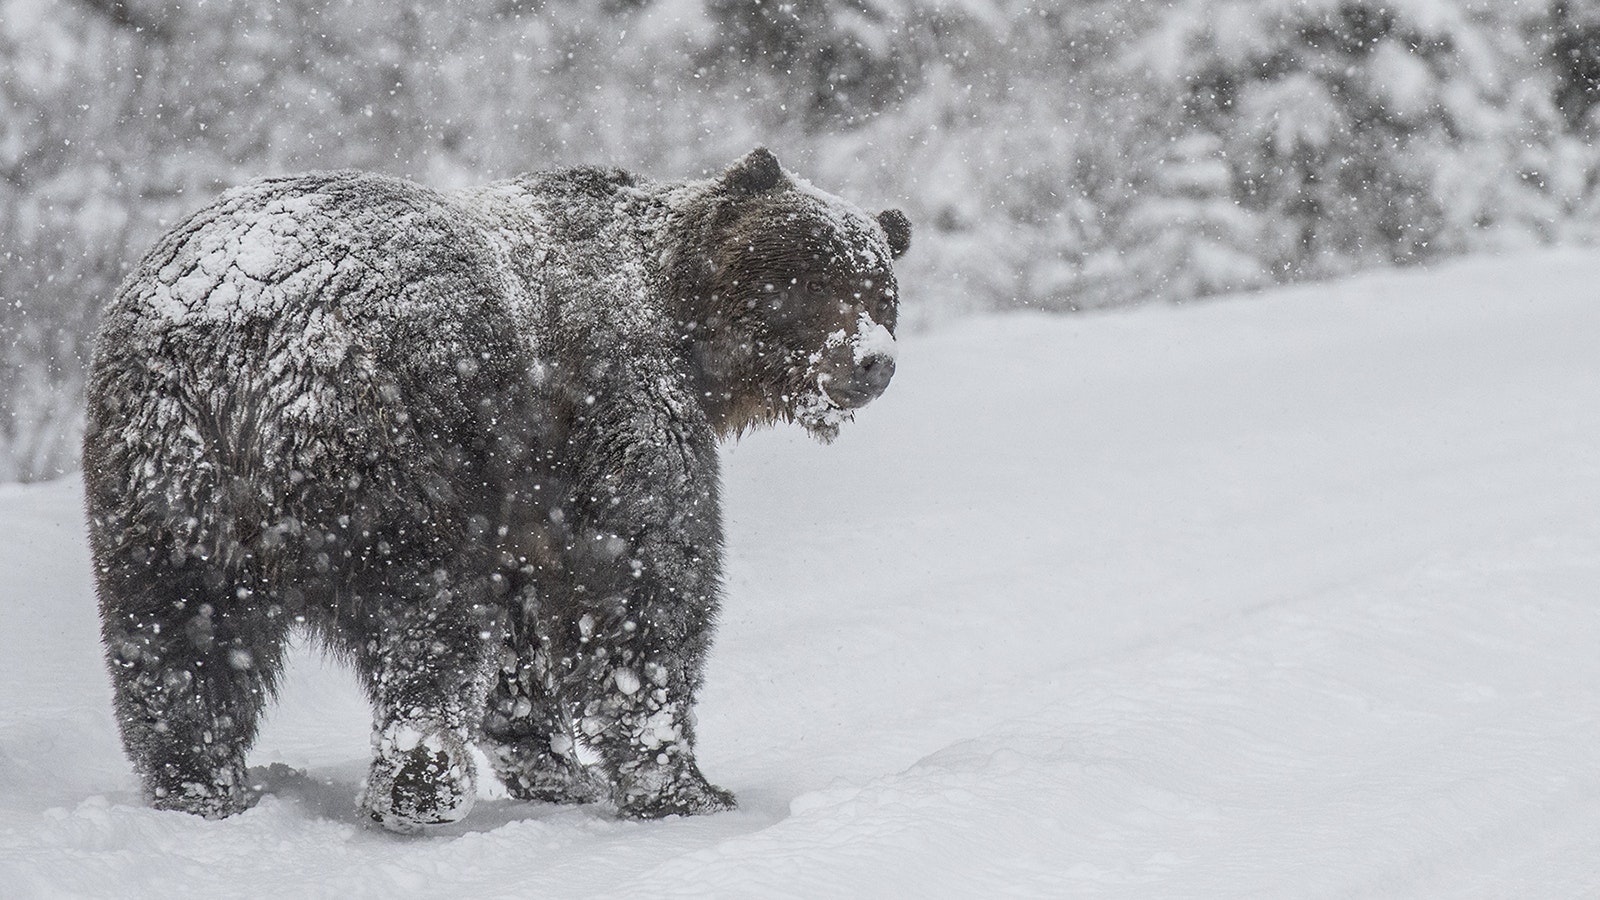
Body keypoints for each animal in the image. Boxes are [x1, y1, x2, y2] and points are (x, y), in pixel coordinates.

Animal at [81, 148, 910, 832]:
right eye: (816, 277)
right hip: (397, 448)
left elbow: (522, 636)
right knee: (426, 616)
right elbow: (644, 589)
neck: (684, 324)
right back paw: (420, 783)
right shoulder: (613, 409)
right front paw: (681, 785)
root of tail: (233, 334)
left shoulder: (522, 493)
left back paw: (201, 786)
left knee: (178, 644)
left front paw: (556, 766)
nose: (873, 361)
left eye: (881, 292)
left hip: (158, 483)